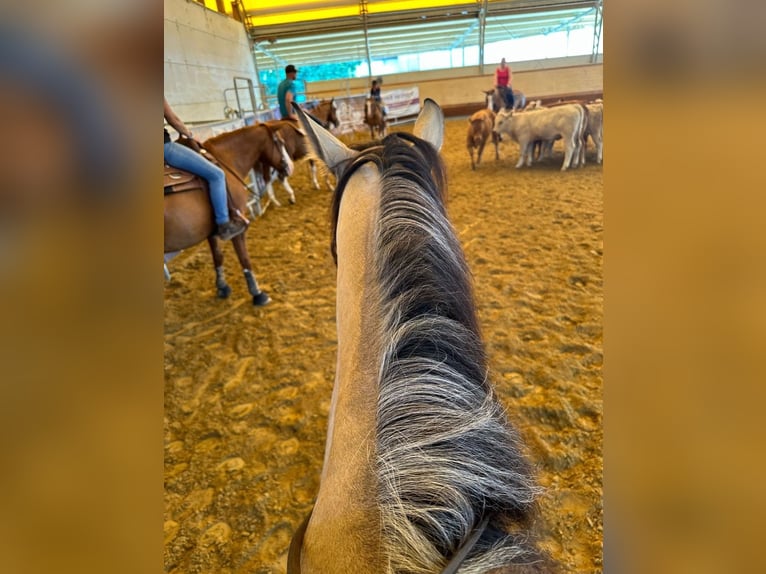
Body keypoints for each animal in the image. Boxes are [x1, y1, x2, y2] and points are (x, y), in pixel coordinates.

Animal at [163, 125, 294, 306]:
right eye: (280, 142)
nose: (289, 167)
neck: (224, 160)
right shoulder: (238, 226)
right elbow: (244, 258)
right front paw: (257, 293)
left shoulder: (211, 230)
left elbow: (218, 256)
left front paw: (222, 287)